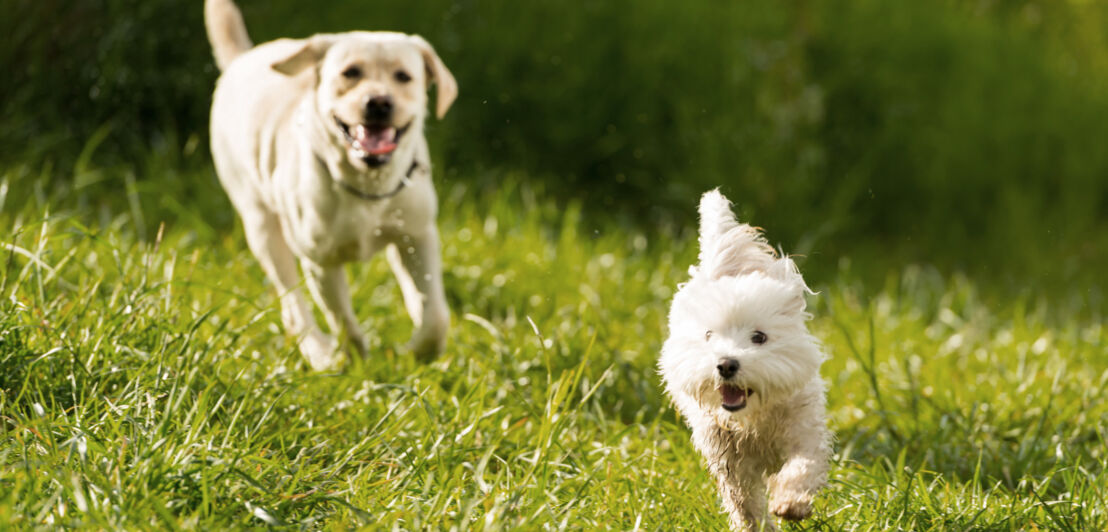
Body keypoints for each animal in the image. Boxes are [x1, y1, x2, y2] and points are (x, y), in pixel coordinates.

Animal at [655, 190, 833, 527]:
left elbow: (802, 465)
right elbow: (744, 504)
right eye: (709, 335)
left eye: (759, 337)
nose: (725, 364)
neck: (753, 419)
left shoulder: (804, 430)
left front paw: (791, 502)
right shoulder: (729, 461)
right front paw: (759, 525)